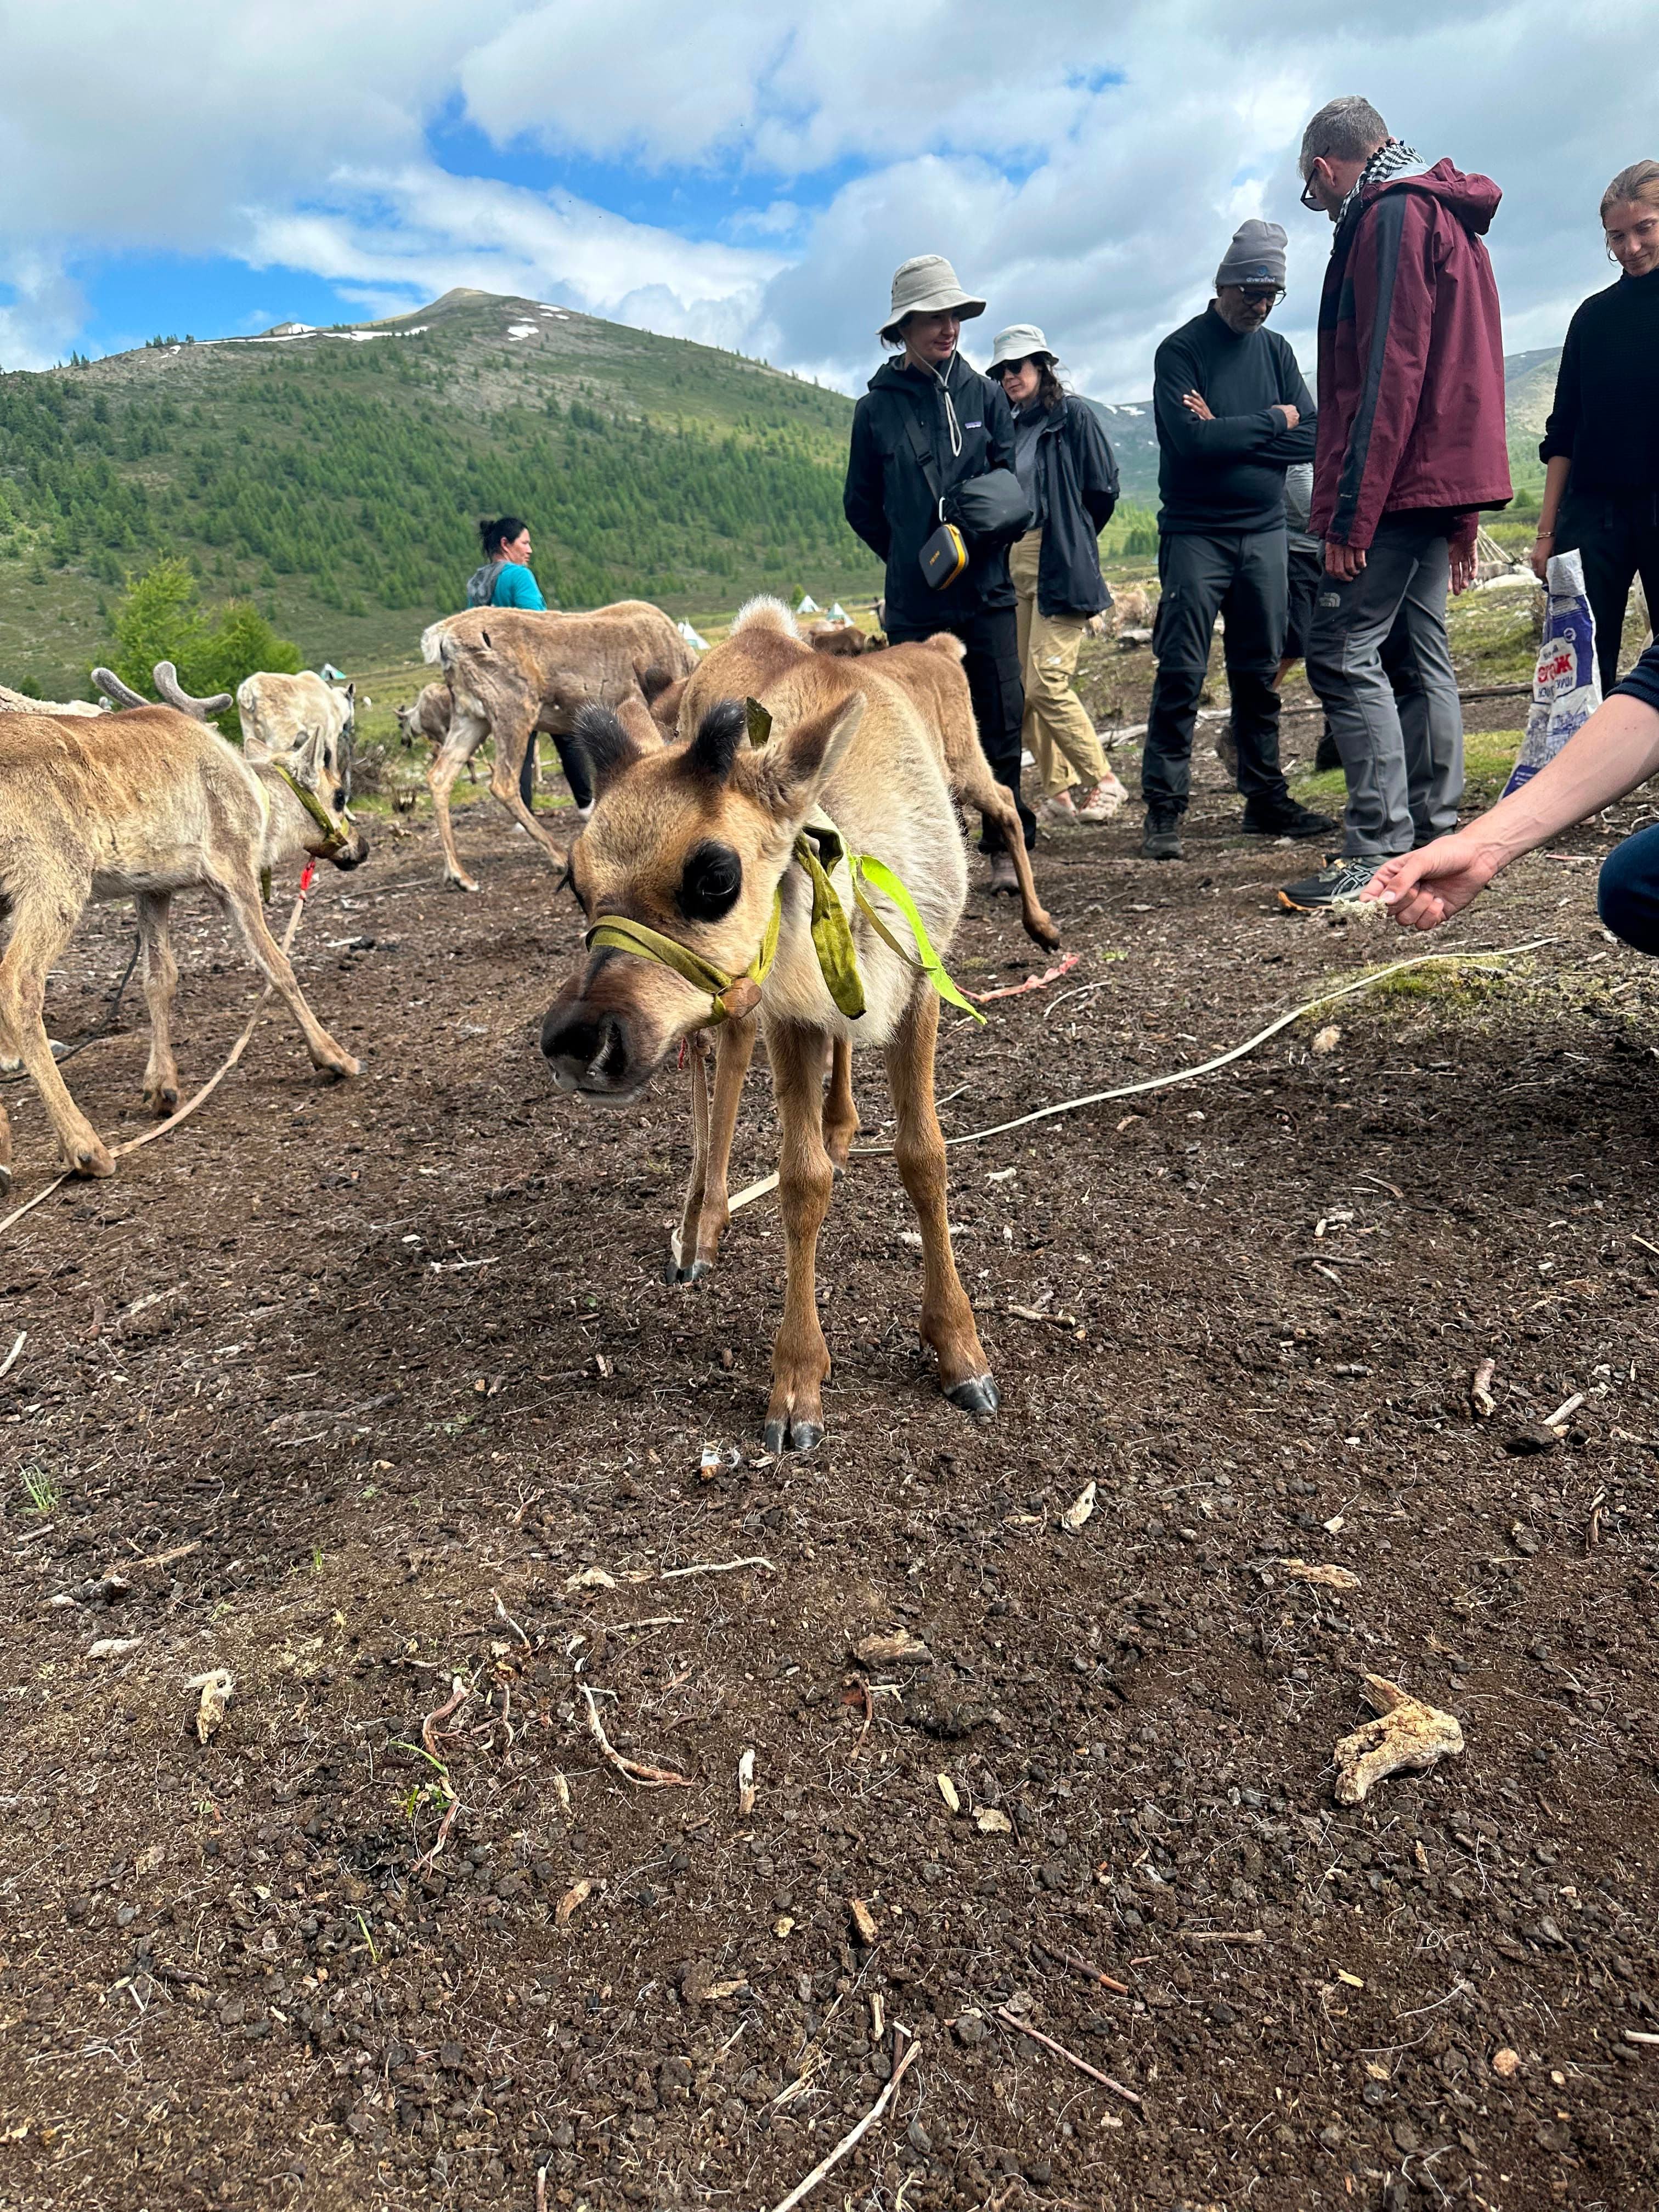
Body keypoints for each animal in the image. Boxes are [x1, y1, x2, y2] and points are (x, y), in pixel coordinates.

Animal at [0, 662, 366, 1191]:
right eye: (339, 795)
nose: (361, 846)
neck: (260, 801)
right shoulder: (233, 869)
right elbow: (276, 964)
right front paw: (333, 1055)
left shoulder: (153, 888)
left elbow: (160, 978)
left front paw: (162, 1087)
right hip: (54, 879)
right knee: (19, 985)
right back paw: (85, 1147)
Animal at [540, 600, 1000, 1453]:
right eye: (573, 881)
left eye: (715, 876)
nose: (576, 1041)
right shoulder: (788, 1011)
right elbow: (801, 1180)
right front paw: (796, 1384)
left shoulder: (917, 987)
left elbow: (925, 1157)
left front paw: (959, 1348)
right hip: (743, 999)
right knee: (718, 1062)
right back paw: (700, 1227)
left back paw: (839, 1122)